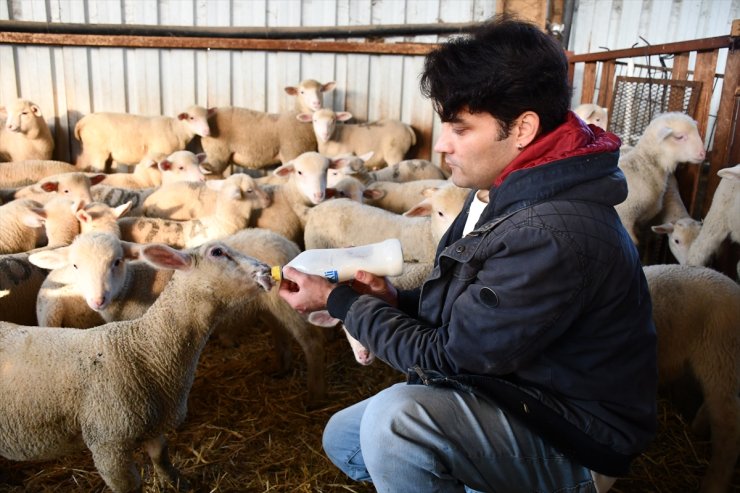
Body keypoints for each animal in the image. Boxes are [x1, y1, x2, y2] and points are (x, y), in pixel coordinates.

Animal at [0, 236, 274, 490]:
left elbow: (162, 458)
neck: (144, 349)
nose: (267, 271)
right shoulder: (108, 444)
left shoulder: (155, 426)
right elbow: (130, 485)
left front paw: (179, 484)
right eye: (217, 252)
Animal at [73, 104, 212, 172]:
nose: (207, 131)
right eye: (192, 118)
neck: (175, 129)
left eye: (207, 118)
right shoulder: (160, 153)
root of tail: (82, 122)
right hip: (97, 151)